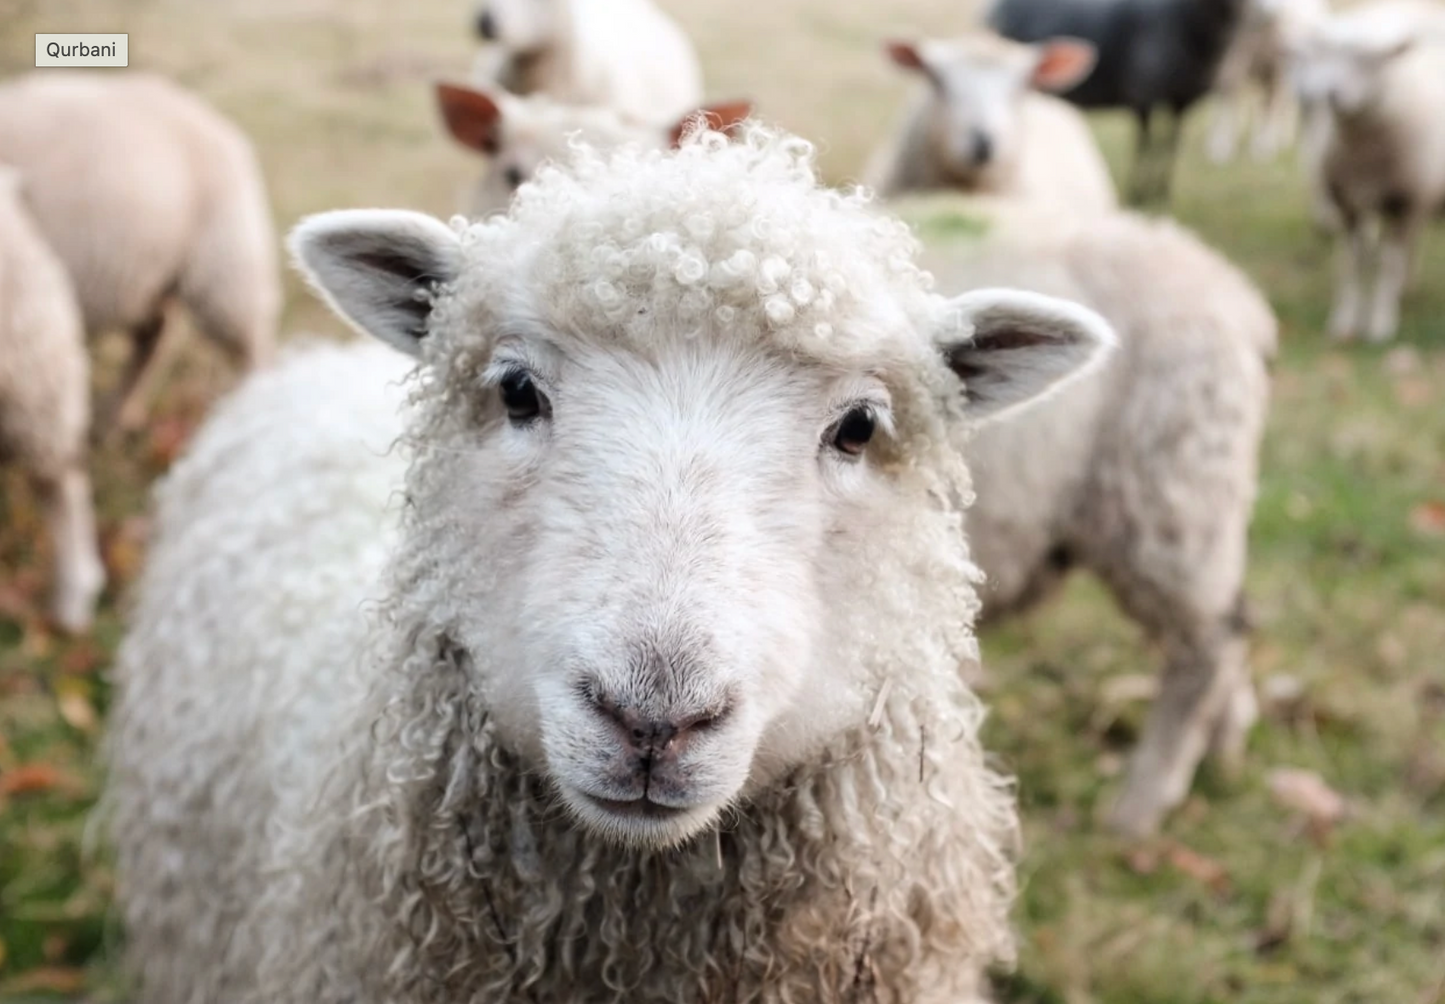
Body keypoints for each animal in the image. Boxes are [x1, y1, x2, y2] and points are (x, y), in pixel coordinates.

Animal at [988, 0, 1248, 204]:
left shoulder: (1181, 100)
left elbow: (1170, 144)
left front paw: (1161, 191)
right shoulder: (1143, 94)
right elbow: (1145, 144)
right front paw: (1139, 192)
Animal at [1206, 0, 1331, 164]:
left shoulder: (1277, 69)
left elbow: (1270, 106)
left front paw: (1263, 148)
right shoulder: (1235, 55)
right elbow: (1228, 99)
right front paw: (1219, 148)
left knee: (1281, 103)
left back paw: (1278, 139)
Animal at [1289, 0, 1445, 342]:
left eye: (1371, 60)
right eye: (1327, 54)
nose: (1331, 94)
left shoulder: (1404, 201)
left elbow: (1388, 264)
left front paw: (1381, 325)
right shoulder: (1347, 202)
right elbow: (1352, 263)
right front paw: (1345, 322)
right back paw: (1407, 287)